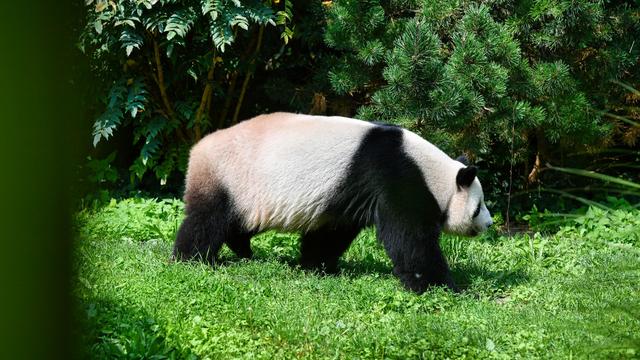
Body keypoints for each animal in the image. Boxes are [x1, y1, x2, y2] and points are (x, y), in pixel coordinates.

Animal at [172, 112, 492, 292]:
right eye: (478, 207)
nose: (489, 224)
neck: (433, 173)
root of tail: (197, 148)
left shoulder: (347, 193)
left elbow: (332, 231)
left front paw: (316, 266)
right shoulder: (396, 177)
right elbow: (410, 237)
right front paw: (442, 286)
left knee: (238, 223)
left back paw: (242, 248)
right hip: (230, 175)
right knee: (207, 220)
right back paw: (191, 259)